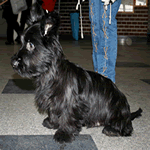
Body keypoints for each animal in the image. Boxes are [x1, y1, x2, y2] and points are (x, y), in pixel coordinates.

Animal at [11, 3, 142, 144]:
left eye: (30, 45)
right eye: (22, 42)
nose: (13, 62)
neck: (51, 73)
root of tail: (128, 113)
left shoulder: (72, 103)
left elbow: (68, 117)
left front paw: (63, 134)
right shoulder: (54, 101)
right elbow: (53, 111)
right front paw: (52, 123)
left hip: (116, 113)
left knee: (126, 128)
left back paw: (112, 129)